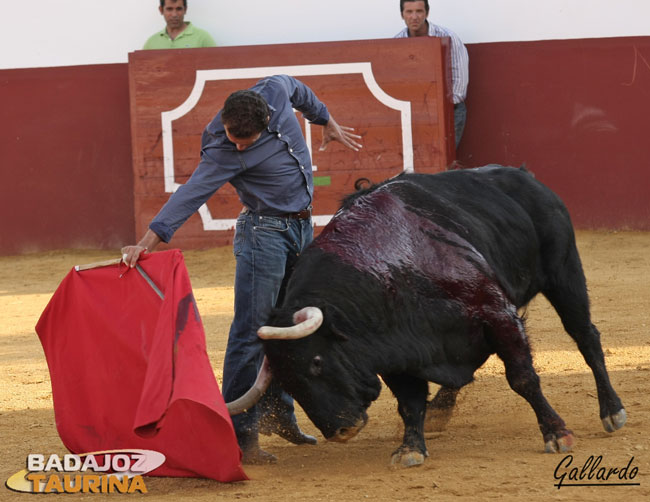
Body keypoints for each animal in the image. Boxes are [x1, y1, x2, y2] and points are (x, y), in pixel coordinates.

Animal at [240, 166, 624, 466]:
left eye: (317, 362)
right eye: (286, 381)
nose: (340, 430)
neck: (394, 268)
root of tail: (526, 177)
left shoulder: (498, 314)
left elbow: (523, 378)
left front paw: (557, 433)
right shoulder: (393, 351)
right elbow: (409, 401)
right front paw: (410, 448)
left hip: (564, 273)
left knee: (585, 336)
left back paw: (612, 410)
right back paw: (440, 409)